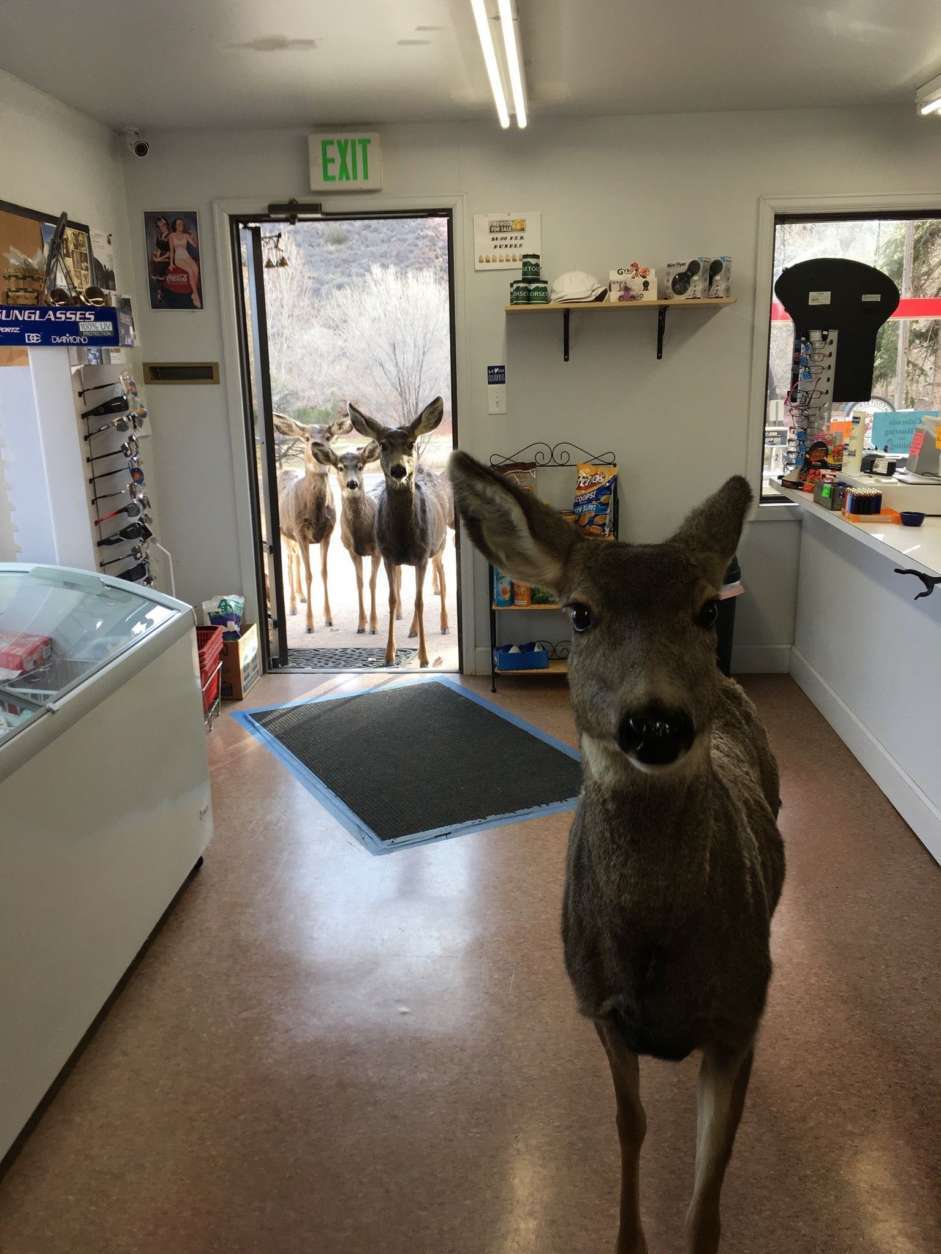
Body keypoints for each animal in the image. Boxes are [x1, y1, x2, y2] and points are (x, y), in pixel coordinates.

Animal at [274, 413, 351, 632]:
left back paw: (301, 597)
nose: (318, 448)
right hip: (282, 531)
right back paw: (292, 605)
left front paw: (328, 618)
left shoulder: (328, 533)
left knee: (295, 558)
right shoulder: (300, 532)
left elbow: (324, 572)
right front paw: (309, 624)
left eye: (328, 436)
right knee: (290, 560)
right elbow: (310, 574)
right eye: (307, 438)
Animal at [311, 441, 381, 637]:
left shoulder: (377, 550)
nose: (352, 483)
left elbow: (372, 583)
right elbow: (359, 583)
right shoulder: (351, 550)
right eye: (340, 467)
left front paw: (374, 626)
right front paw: (361, 625)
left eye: (360, 466)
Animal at [351, 401, 454, 672]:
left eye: (410, 443)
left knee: (442, 579)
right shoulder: (387, 555)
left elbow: (419, 602)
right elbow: (393, 599)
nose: (399, 469)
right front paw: (389, 654)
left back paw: (444, 625)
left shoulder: (422, 555)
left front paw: (425, 658)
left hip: (439, 545)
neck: (403, 537)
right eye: (383, 444)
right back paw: (412, 631)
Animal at [451, 451, 787, 1254]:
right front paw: (627, 1240)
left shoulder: (738, 1016)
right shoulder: (598, 1004)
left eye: (706, 610)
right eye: (579, 612)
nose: (655, 723)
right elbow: (627, 1125)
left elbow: (710, 1181)